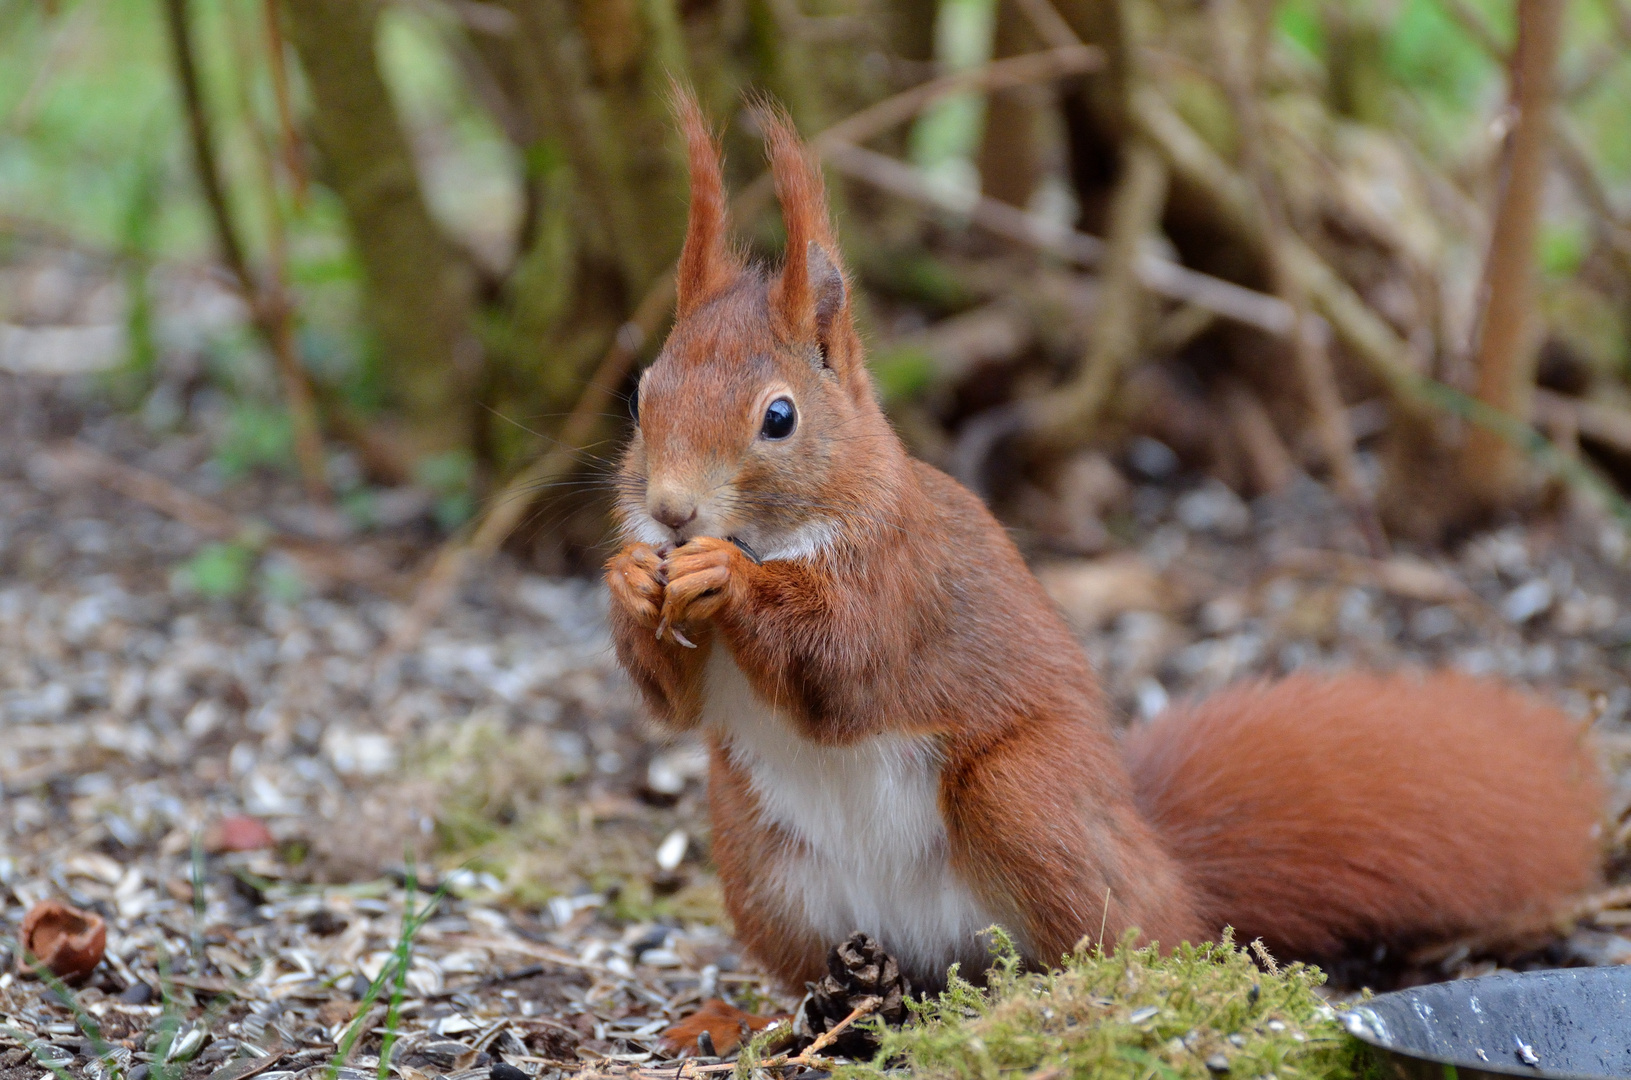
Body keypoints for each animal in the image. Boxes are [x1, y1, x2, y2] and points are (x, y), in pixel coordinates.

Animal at [603, 92, 1604, 1057]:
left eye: (778, 417)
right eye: (642, 397)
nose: (673, 512)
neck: (791, 531)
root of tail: (1168, 869)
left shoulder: (902, 577)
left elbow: (841, 660)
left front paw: (725, 574)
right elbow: (672, 704)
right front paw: (629, 577)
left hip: (1024, 798)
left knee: (1124, 937)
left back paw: (1062, 1000)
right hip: (756, 853)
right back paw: (753, 1020)